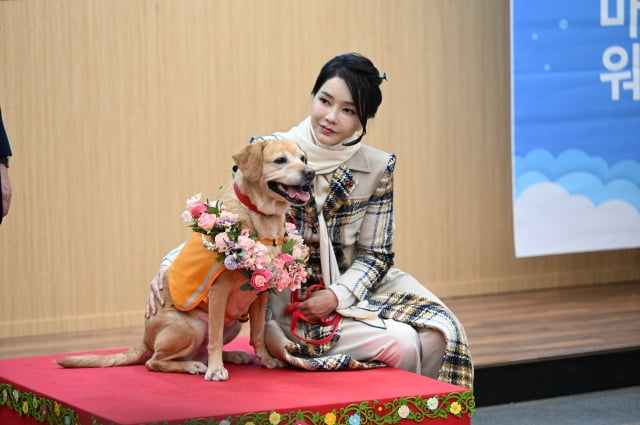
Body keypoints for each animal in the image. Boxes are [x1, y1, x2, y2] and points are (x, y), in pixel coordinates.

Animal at [58, 139, 314, 380]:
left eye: (303, 158)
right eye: (280, 160)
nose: (310, 172)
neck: (260, 218)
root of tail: (144, 340)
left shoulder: (260, 294)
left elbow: (258, 334)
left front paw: (266, 360)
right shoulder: (218, 292)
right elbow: (215, 339)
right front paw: (216, 371)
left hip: (230, 325)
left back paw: (231, 356)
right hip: (190, 326)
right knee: (155, 361)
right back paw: (193, 365)